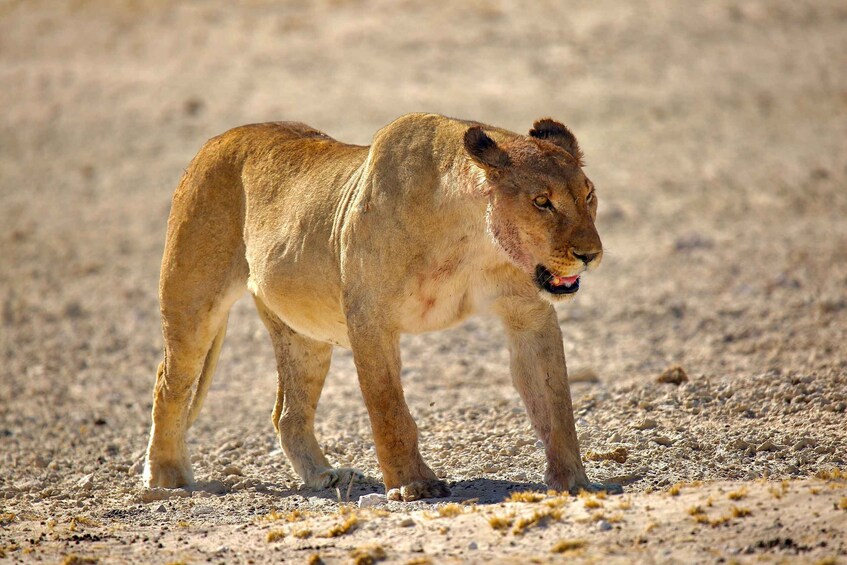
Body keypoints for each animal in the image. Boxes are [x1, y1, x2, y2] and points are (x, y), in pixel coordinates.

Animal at [143, 113, 608, 501]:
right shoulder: (369, 317)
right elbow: (388, 407)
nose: (590, 254)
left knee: (287, 413)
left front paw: (573, 481)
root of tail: (221, 137)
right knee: (169, 385)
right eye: (542, 201)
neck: (471, 237)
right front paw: (412, 484)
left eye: (589, 195)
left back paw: (323, 475)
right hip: (191, 301)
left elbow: (555, 402)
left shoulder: (528, 314)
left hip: (305, 336)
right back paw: (168, 476)